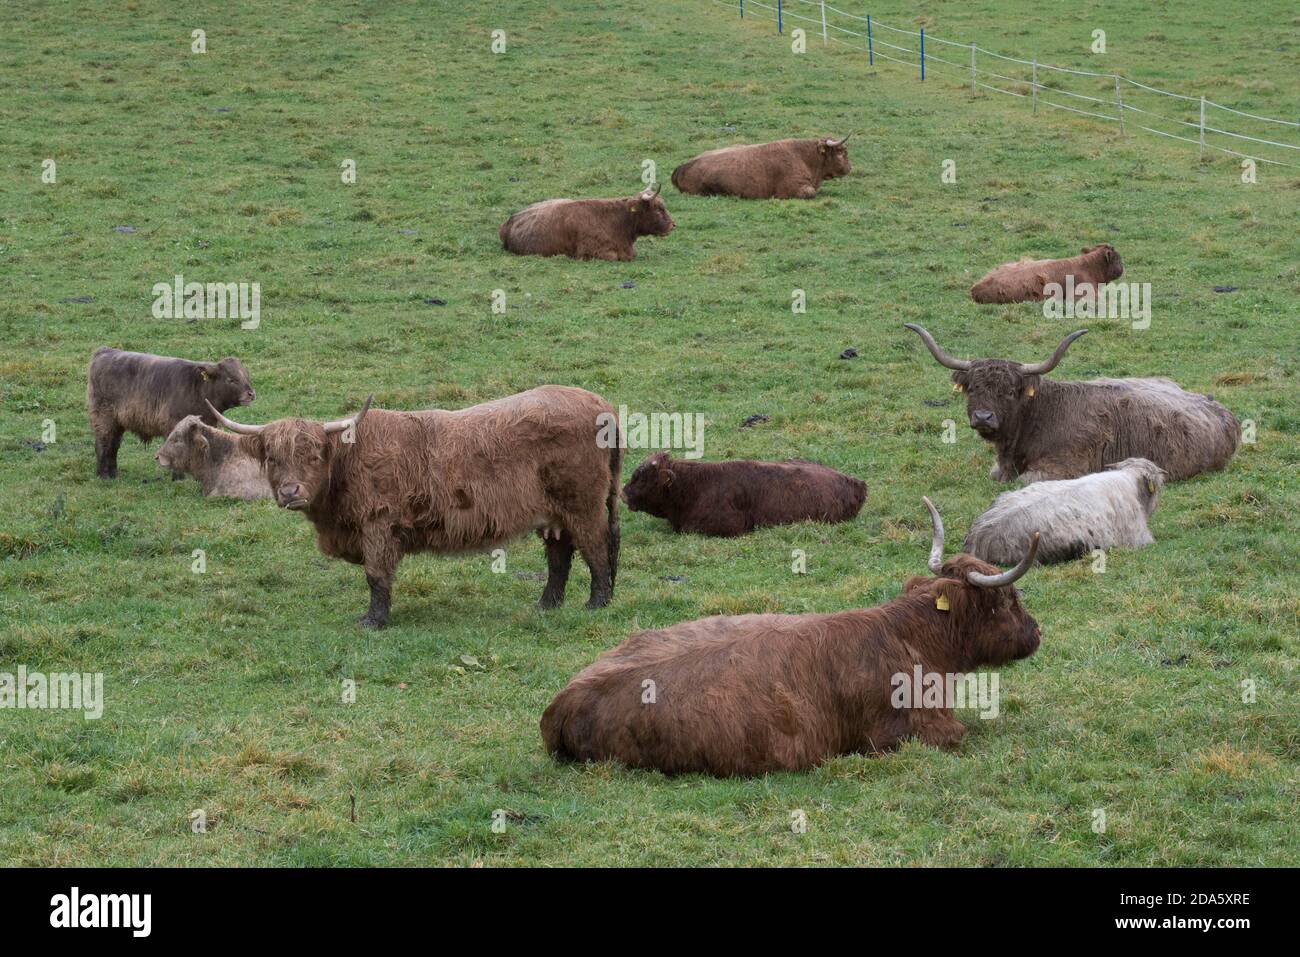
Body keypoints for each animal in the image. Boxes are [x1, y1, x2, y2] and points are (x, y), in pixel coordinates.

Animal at [86, 347, 255, 479]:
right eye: (231, 379)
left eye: (245, 376)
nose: (251, 394)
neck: (198, 389)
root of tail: (105, 351)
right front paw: (178, 478)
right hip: (104, 419)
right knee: (103, 444)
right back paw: (103, 475)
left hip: (117, 422)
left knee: (113, 445)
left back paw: (113, 473)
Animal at [206, 386, 621, 629]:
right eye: (273, 458)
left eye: (312, 456)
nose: (290, 491)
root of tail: (599, 403)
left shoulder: (377, 528)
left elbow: (376, 577)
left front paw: (373, 621)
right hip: (554, 513)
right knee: (560, 556)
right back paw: (547, 605)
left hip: (583, 504)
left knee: (597, 549)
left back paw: (596, 603)